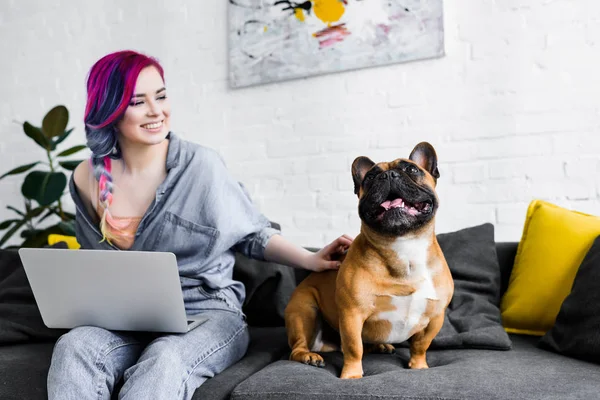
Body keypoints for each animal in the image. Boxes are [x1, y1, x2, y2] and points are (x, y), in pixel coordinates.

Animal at [284, 143, 452, 378]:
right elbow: (354, 346)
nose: (388, 175)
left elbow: (421, 344)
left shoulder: (436, 317)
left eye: (411, 169)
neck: (403, 243)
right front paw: (352, 375)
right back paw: (309, 356)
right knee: (297, 348)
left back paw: (380, 346)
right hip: (304, 311)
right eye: (370, 177)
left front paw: (419, 366)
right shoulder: (352, 314)